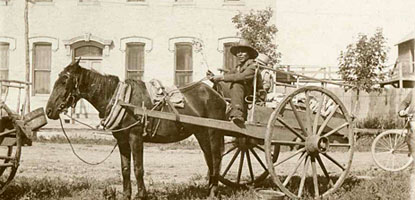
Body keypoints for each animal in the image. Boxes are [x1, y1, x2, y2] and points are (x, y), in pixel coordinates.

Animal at [44, 58, 228, 199]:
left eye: (64, 81)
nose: (49, 111)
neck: (120, 100)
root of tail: (217, 95)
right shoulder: (122, 139)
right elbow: (125, 169)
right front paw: (126, 194)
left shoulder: (135, 137)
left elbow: (138, 168)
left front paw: (141, 195)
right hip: (201, 133)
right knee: (210, 160)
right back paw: (210, 190)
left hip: (213, 132)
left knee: (216, 160)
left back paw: (214, 193)